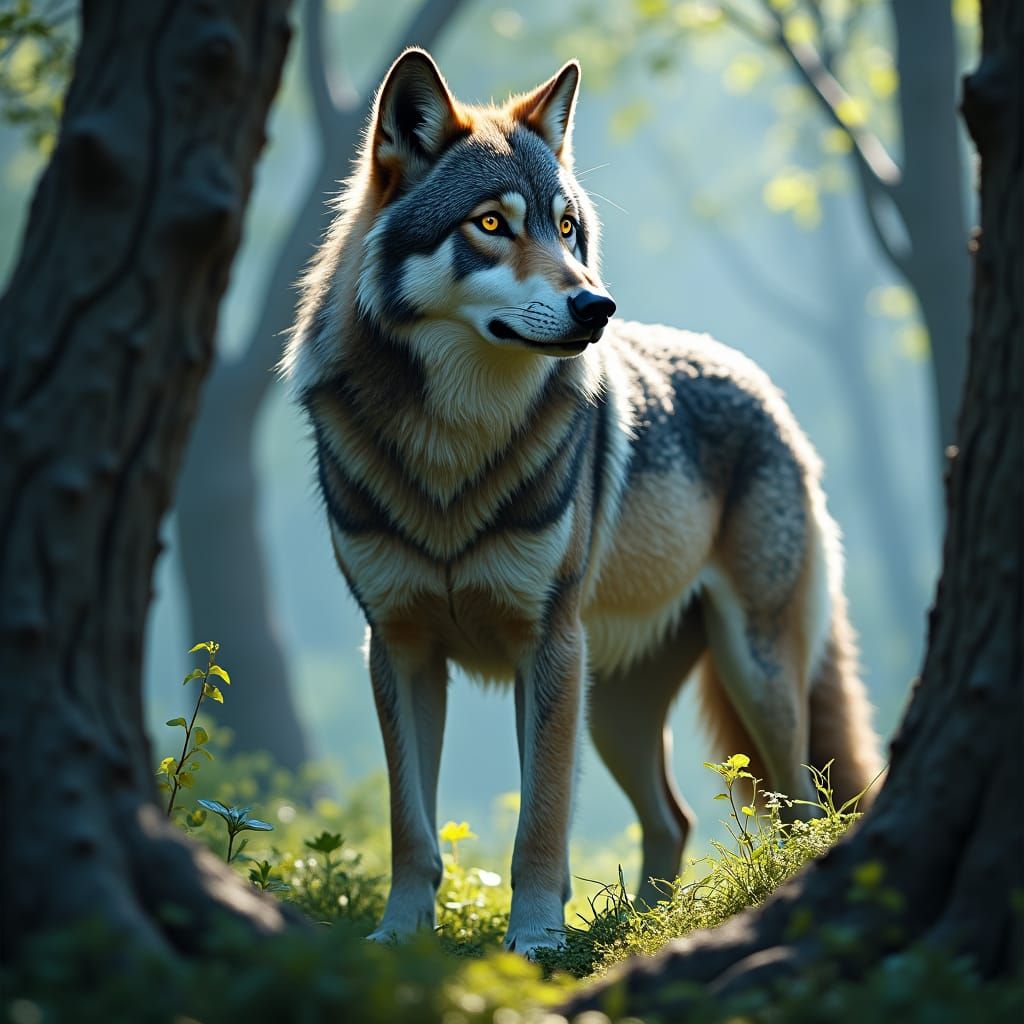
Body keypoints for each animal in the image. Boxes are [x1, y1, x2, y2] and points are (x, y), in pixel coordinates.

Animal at [282, 48, 882, 956]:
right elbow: (410, 825)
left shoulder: (547, 645)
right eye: (491, 224)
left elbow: (541, 822)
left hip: (750, 674)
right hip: (615, 709)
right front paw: (399, 936)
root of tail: (759, 383)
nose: (597, 306)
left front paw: (535, 940)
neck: (453, 446)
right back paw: (639, 923)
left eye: (566, 228)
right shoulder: (399, 646)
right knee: (673, 819)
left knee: (801, 806)